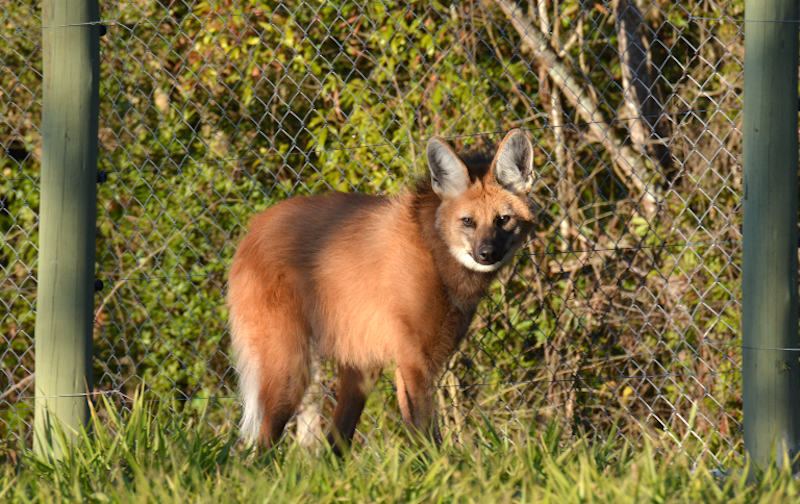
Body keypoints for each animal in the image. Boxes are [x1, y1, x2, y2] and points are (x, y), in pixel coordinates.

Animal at [227, 128, 536, 450]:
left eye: (503, 220)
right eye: (468, 222)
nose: (487, 254)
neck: (434, 253)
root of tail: (253, 227)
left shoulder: (419, 359)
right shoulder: (413, 359)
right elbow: (425, 434)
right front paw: (441, 464)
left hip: (360, 366)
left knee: (335, 444)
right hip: (290, 369)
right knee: (262, 445)